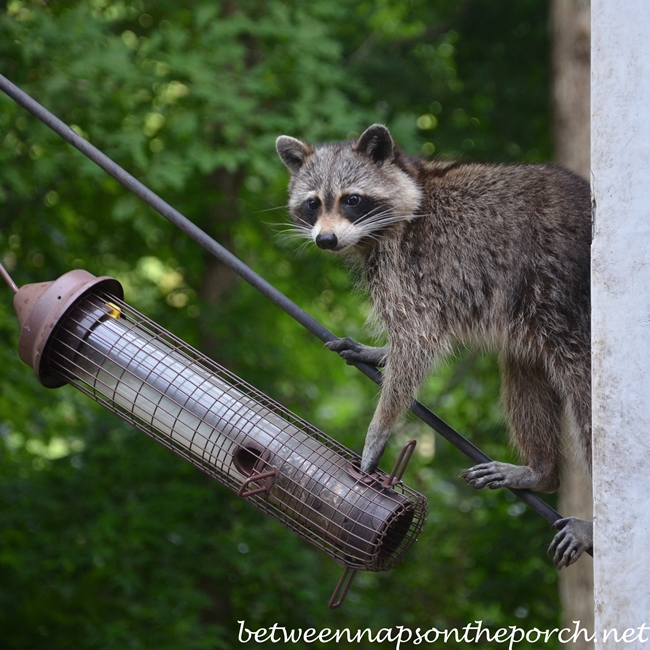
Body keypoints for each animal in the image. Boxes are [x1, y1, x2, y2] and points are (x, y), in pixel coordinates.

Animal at [276, 124, 588, 564]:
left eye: (352, 199)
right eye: (312, 204)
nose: (326, 239)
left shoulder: (413, 266)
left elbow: (417, 340)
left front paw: (378, 432)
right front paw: (381, 352)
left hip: (567, 300)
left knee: (585, 388)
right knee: (522, 367)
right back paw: (541, 470)